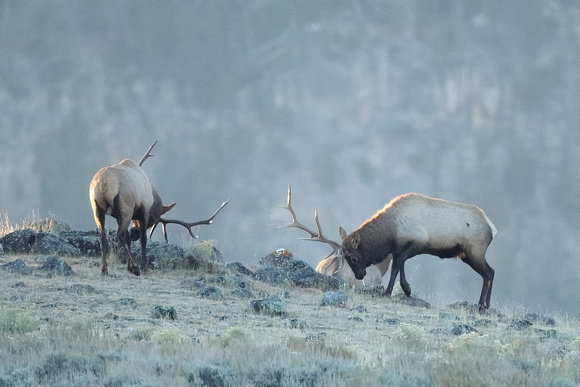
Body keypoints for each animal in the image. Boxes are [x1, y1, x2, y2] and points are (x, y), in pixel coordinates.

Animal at [88, 142, 229, 276]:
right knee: (120, 234)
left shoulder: (118, 216)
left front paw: (129, 267)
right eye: (154, 219)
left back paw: (105, 269)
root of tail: (104, 183)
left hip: (97, 208)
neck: (154, 198)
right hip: (126, 207)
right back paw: (135, 268)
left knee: (103, 235)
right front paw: (143, 267)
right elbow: (143, 240)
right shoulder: (143, 211)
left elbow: (129, 239)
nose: (134, 233)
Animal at [340, 194, 498, 312]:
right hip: (468, 256)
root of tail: (492, 227)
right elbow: (394, 269)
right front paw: (387, 292)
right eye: (345, 258)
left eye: (353, 258)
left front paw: (407, 289)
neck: (392, 231)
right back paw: (486, 305)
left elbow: (401, 262)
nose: (359, 275)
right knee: (491, 272)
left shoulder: (419, 243)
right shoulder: (397, 250)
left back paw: (482, 305)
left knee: (488, 273)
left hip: (474, 253)